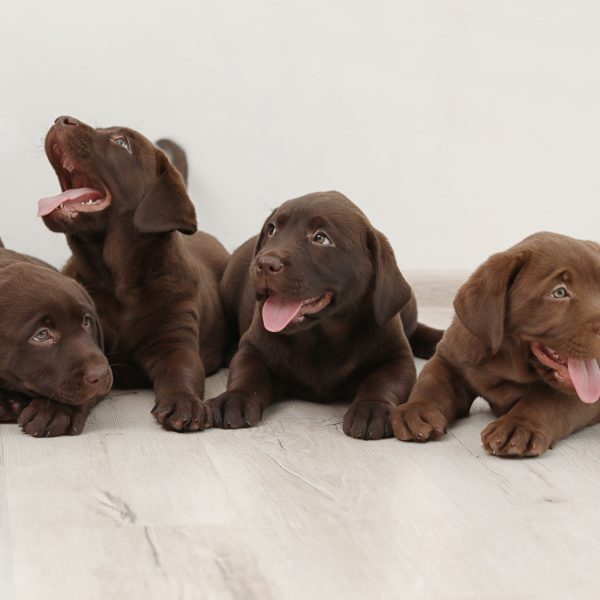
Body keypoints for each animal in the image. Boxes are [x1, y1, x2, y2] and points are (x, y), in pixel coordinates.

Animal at [38, 115, 229, 432]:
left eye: (122, 143)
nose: (61, 119)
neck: (116, 279)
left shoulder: (175, 340)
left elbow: (183, 371)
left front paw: (185, 403)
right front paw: (57, 410)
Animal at [210, 192, 440, 440]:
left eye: (320, 238)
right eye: (272, 229)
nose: (264, 263)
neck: (320, 335)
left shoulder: (397, 357)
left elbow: (383, 381)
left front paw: (371, 408)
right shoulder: (252, 348)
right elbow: (246, 373)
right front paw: (236, 397)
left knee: (414, 329)